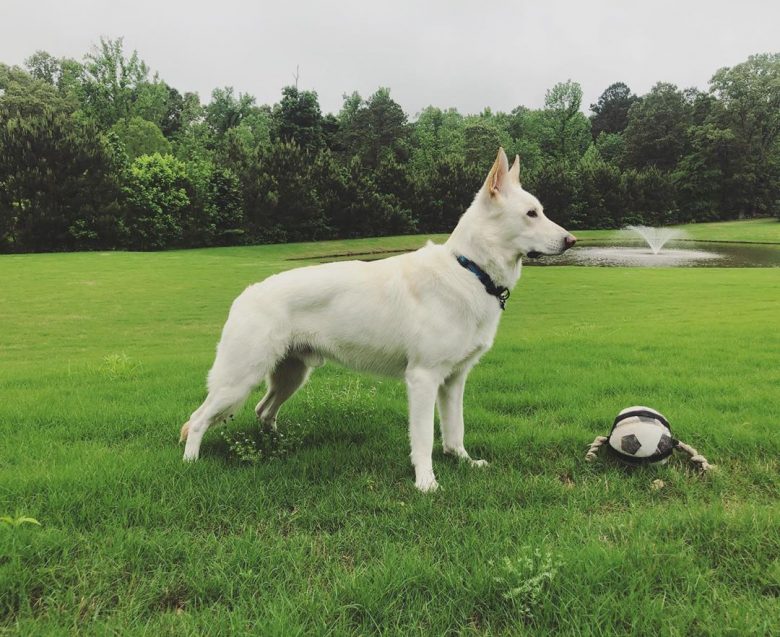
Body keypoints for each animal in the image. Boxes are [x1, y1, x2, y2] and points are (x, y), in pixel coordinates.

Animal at [180, 149, 576, 492]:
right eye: (531, 213)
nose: (572, 241)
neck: (470, 269)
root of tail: (245, 295)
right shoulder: (422, 379)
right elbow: (424, 439)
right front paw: (426, 483)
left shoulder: (453, 381)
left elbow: (455, 430)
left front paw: (462, 460)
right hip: (238, 381)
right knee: (198, 420)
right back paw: (190, 465)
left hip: (290, 377)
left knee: (263, 411)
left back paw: (276, 447)